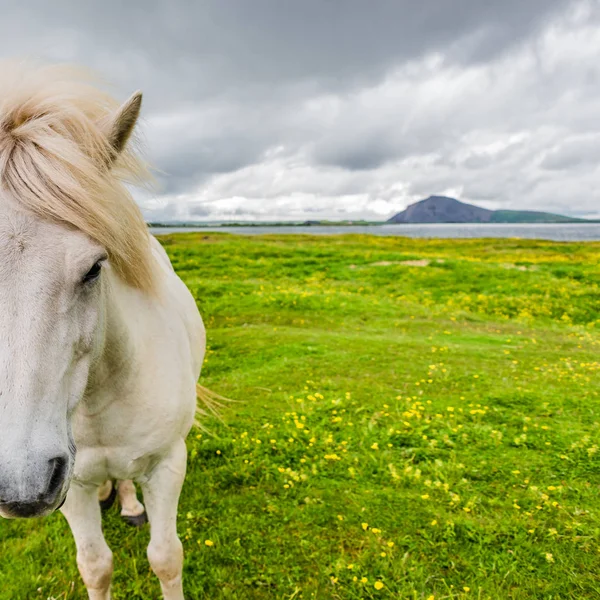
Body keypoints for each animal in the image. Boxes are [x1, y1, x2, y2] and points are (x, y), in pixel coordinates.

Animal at [0, 62, 206, 600]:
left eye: (96, 267)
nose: (19, 486)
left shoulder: (168, 466)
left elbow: (166, 557)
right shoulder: (72, 485)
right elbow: (95, 565)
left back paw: (130, 504)